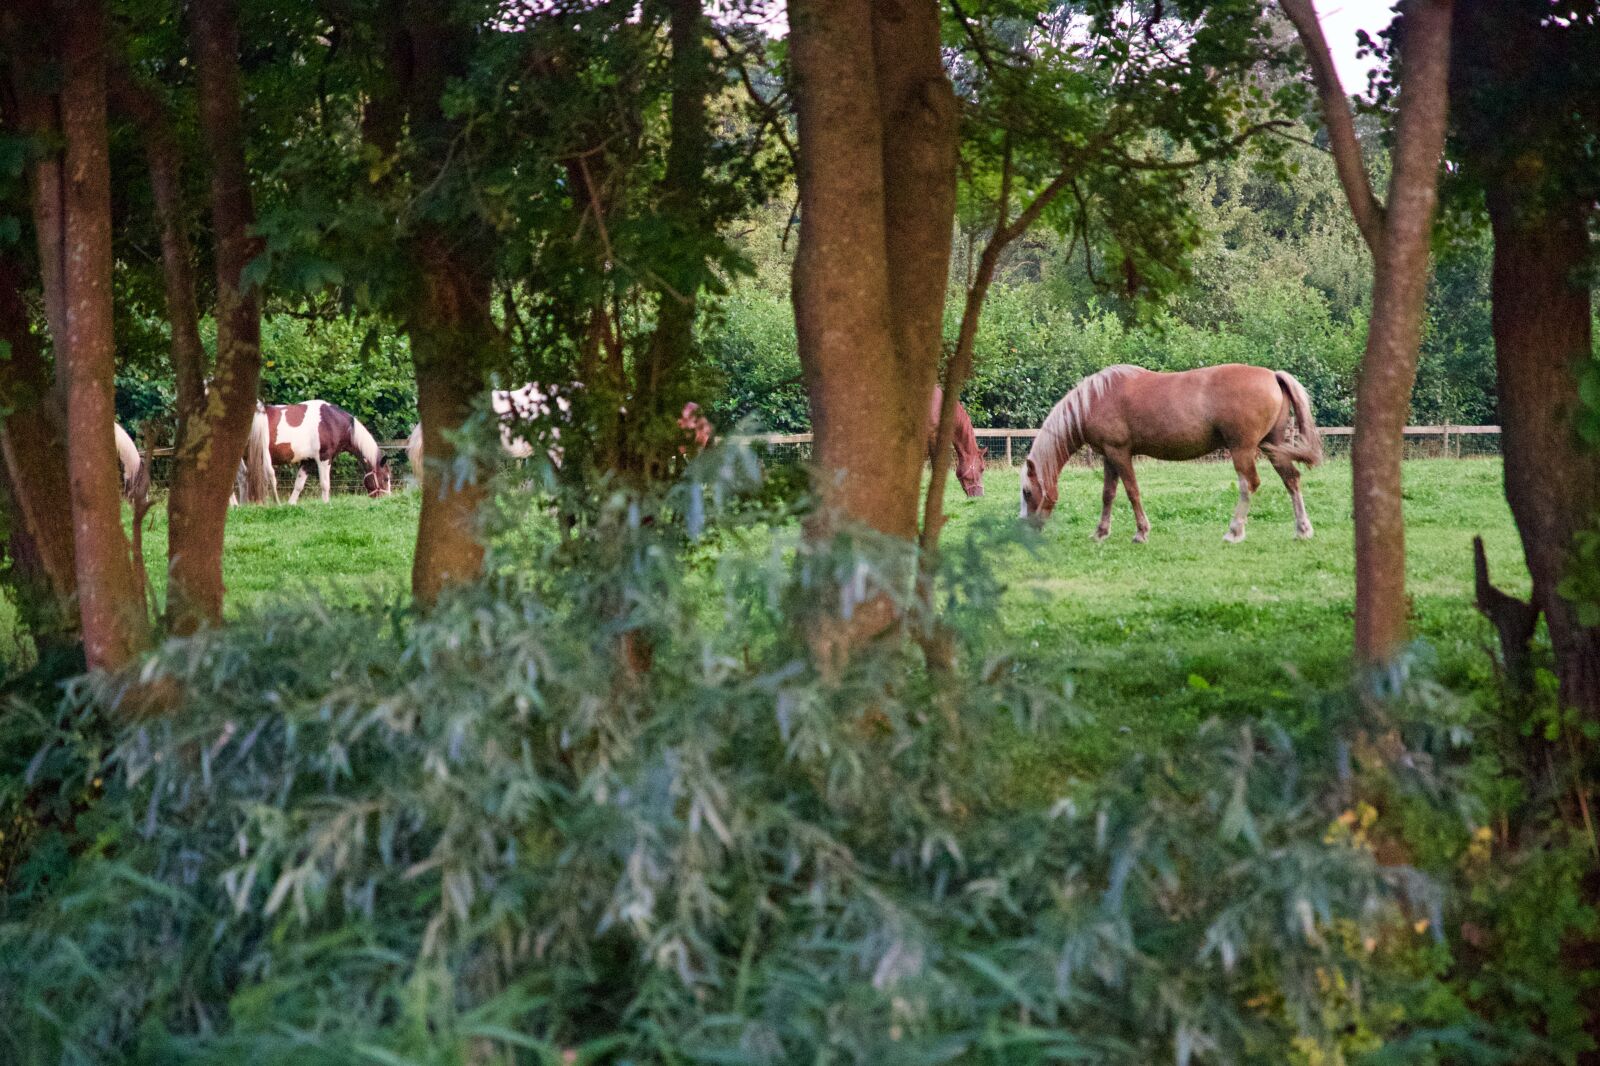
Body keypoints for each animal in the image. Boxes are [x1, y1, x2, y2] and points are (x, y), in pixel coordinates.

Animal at [246, 399, 392, 504]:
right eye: (386, 478)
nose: (386, 499)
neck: (333, 421)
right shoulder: (324, 458)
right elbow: (325, 484)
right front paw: (326, 504)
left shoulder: (308, 461)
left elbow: (299, 485)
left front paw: (291, 505)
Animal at [1019, 364, 1321, 542]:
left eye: (1027, 492)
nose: (1026, 528)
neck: (1095, 399)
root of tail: (1273, 375)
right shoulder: (1109, 456)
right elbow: (1108, 494)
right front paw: (1100, 532)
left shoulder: (1120, 453)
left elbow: (1132, 491)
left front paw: (1141, 532)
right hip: (1274, 445)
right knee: (1291, 479)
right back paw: (1303, 529)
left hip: (1243, 449)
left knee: (1249, 484)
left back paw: (1234, 531)